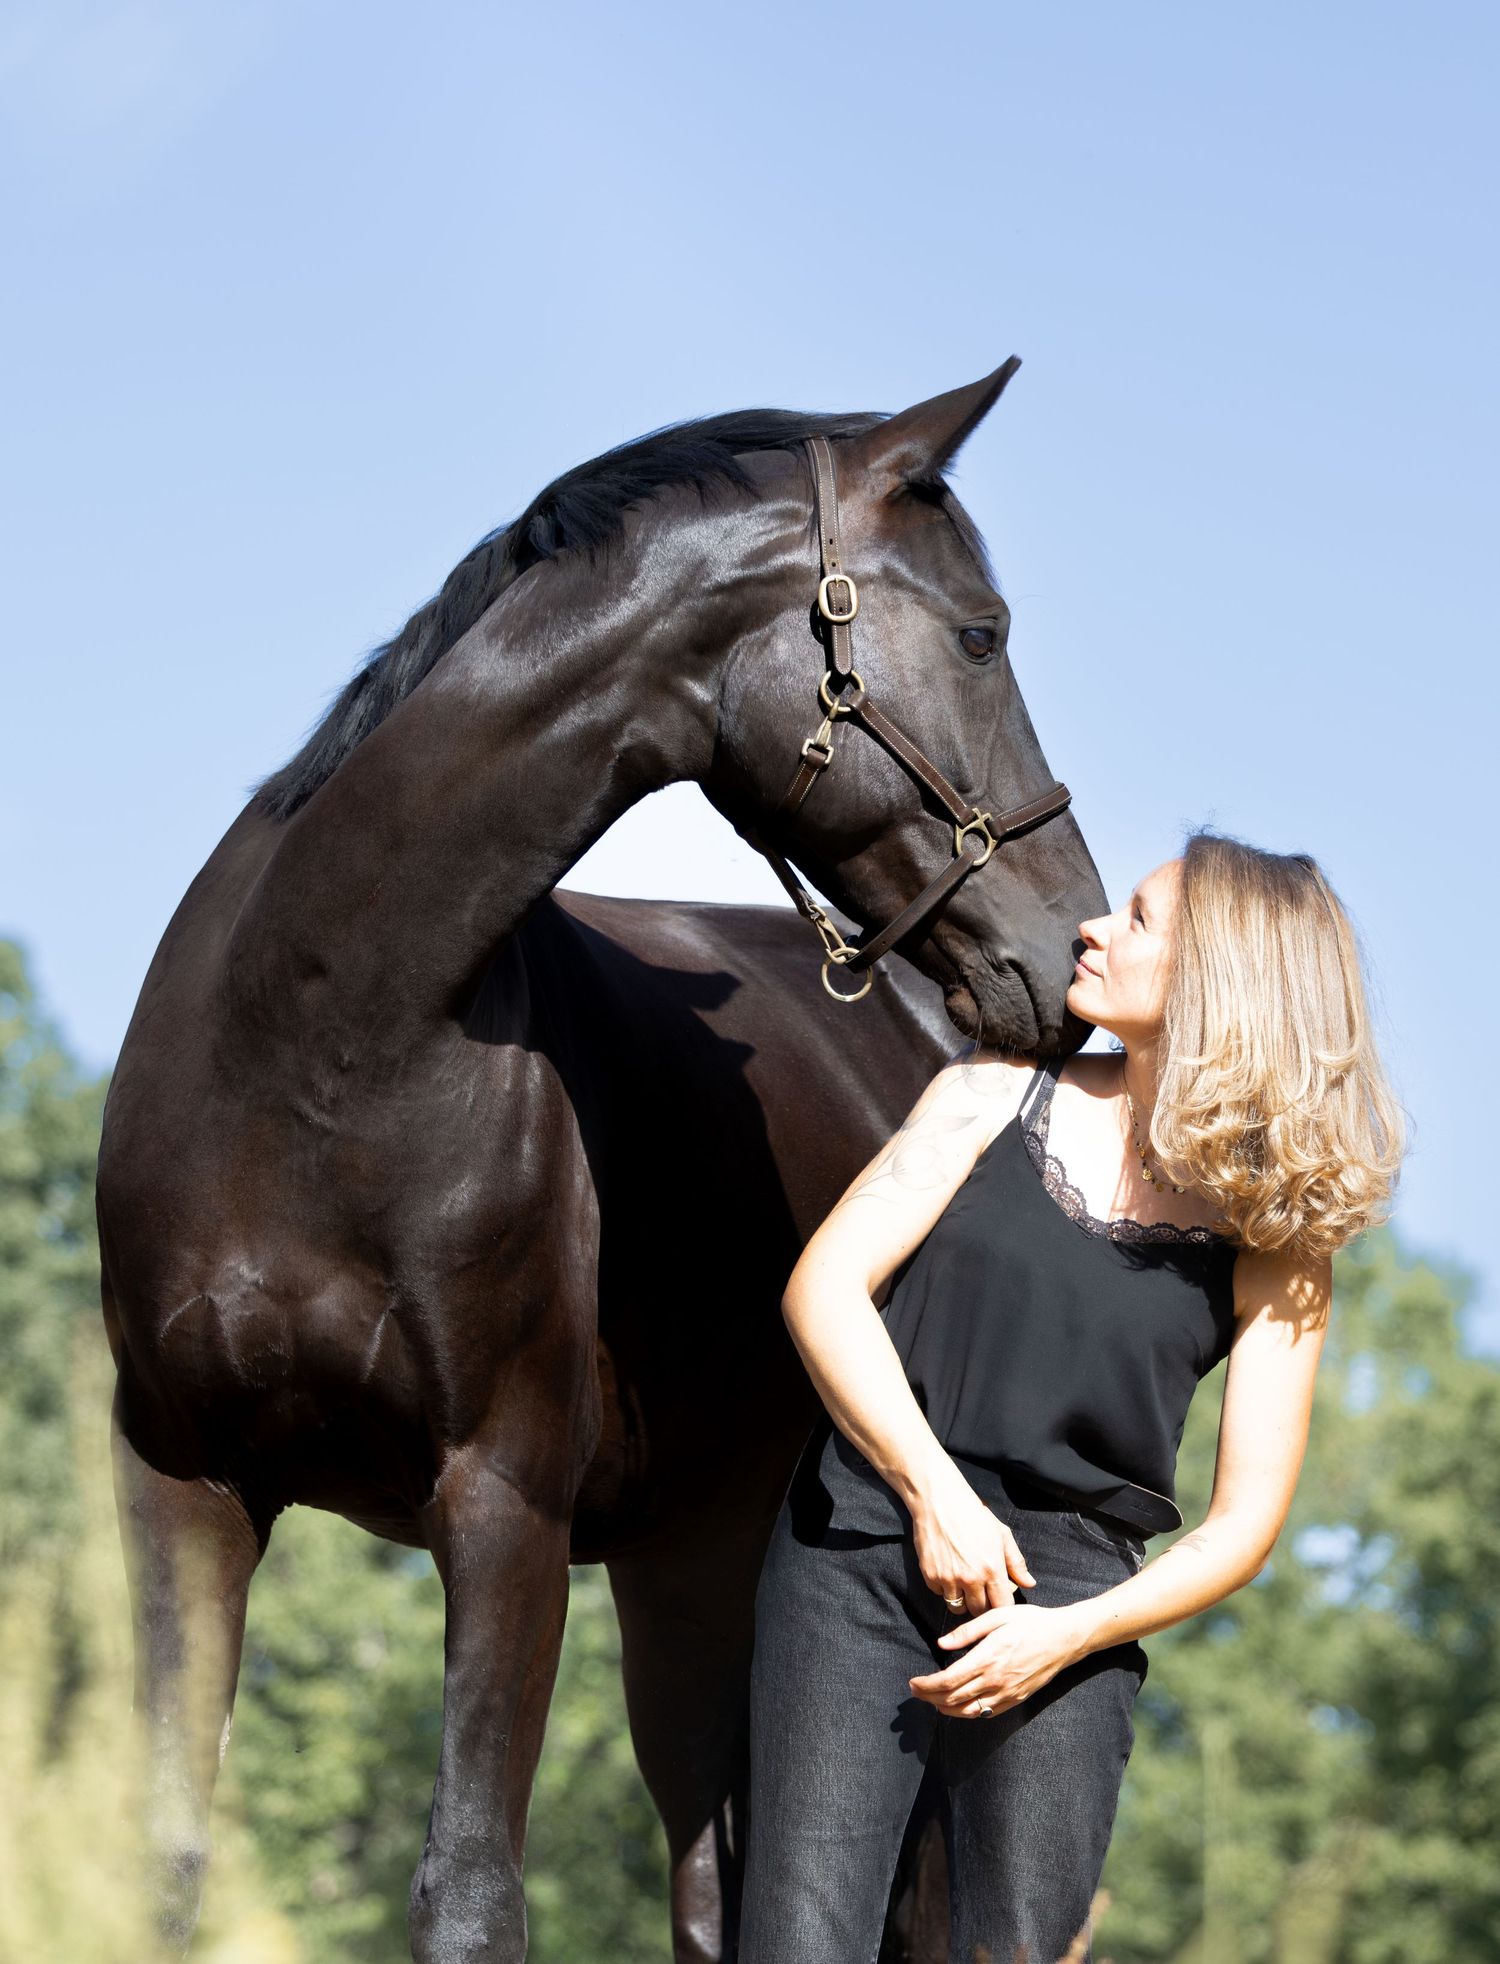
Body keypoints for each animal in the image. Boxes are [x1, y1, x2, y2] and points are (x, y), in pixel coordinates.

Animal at [96, 360, 1107, 1960]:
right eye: (979, 632)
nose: (1070, 953)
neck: (319, 1042)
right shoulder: (185, 1485)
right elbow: (173, 1862)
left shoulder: (501, 1499)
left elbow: (468, 1888)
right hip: (690, 1572)